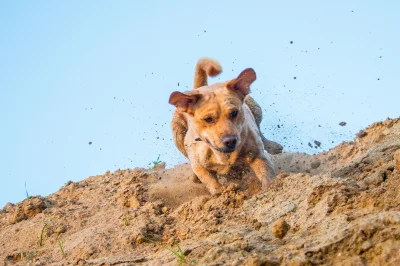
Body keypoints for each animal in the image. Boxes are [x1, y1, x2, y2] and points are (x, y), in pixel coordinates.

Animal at [170, 58, 280, 194]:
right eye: (208, 119)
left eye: (234, 113)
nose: (230, 140)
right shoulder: (199, 165)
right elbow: (212, 183)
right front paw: (223, 194)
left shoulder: (256, 154)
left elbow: (266, 173)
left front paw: (270, 188)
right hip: (178, 134)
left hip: (254, 106)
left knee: (260, 130)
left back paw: (273, 145)